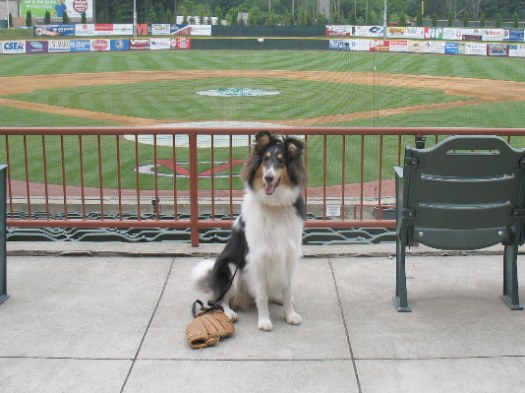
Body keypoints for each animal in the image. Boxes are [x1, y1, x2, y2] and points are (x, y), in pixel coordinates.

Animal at [191, 130, 308, 330]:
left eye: (281, 161)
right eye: (265, 160)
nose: (268, 178)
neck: (274, 205)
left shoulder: (288, 255)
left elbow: (287, 289)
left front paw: (290, 314)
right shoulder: (257, 257)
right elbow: (261, 294)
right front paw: (264, 321)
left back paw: (276, 298)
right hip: (229, 268)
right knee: (220, 300)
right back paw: (230, 313)